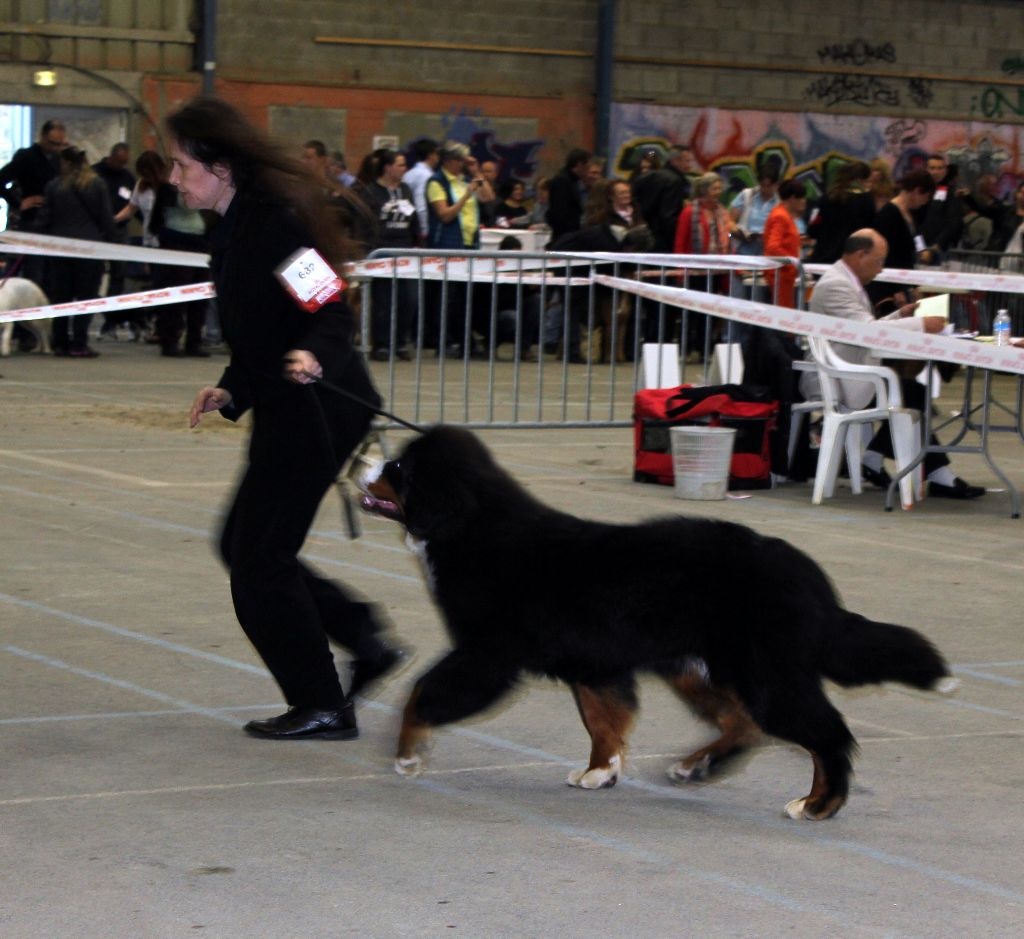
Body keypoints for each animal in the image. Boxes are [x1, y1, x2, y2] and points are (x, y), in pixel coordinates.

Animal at [358, 425, 950, 819]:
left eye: (398, 470)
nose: (362, 459)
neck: (473, 526)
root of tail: (806, 573)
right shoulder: (595, 663)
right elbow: (603, 719)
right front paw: (599, 772)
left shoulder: (486, 656)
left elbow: (422, 693)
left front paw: (407, 754)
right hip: (698, 668)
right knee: (744, 724)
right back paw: (696, 767)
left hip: (763, 673)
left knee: (825, 733)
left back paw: (819, 803)